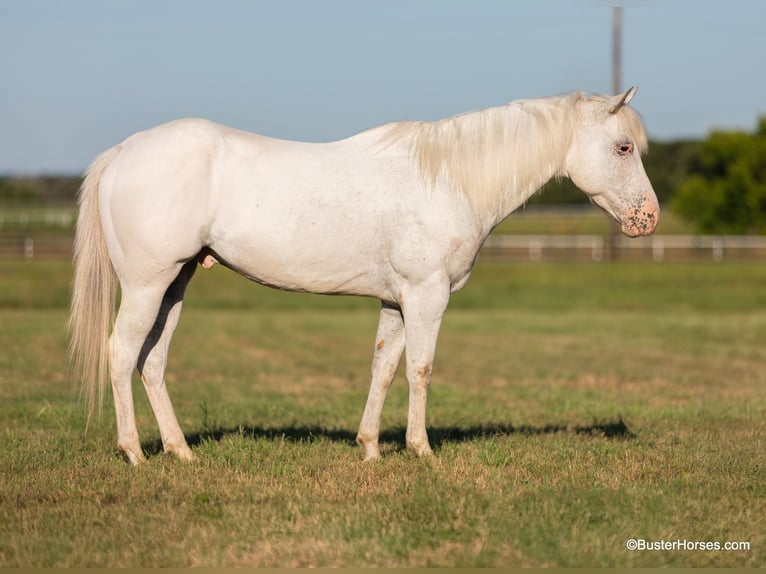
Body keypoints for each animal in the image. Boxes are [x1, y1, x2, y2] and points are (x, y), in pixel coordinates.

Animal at [69, 87, 659, 464]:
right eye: (623, 147)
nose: (648, 219)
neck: (447, 178)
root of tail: (125, 151)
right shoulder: (427, 295)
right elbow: (420, 369)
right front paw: (421, 451)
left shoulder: (397, 301)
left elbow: (384, 368)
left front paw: (371, 448)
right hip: (147, 285)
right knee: (121, 354)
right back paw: (134, 453)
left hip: (175, 285)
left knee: (152, 361)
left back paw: (182, 452)